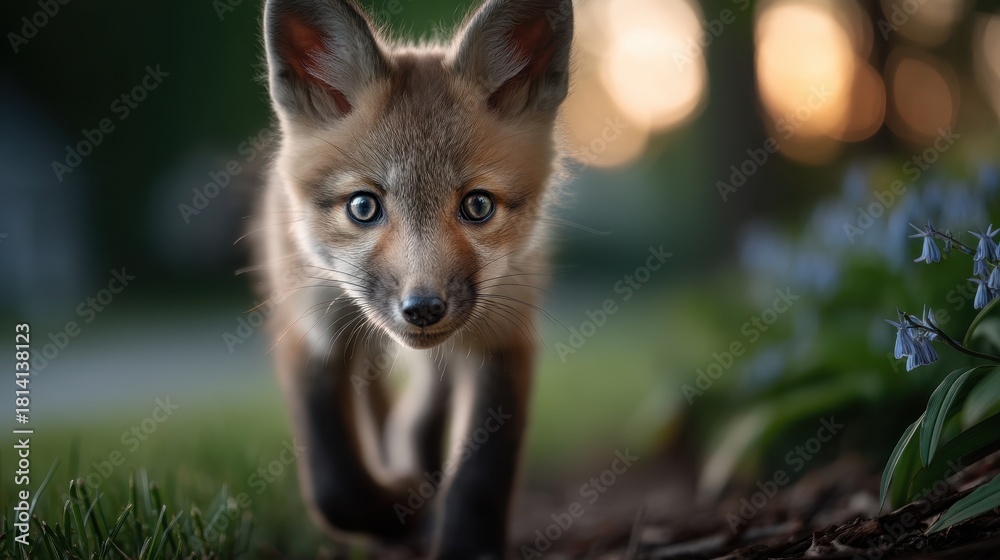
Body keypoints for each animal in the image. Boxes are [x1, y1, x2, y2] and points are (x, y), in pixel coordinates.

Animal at [252, 0, 574, 557]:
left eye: (478, 205)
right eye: (363, 207)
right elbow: (335, 486)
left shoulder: (503, 332)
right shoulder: (312, 327)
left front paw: (465, 543)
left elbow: (482, 472)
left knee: (423, 406)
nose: (422, 309)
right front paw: (394, 510)